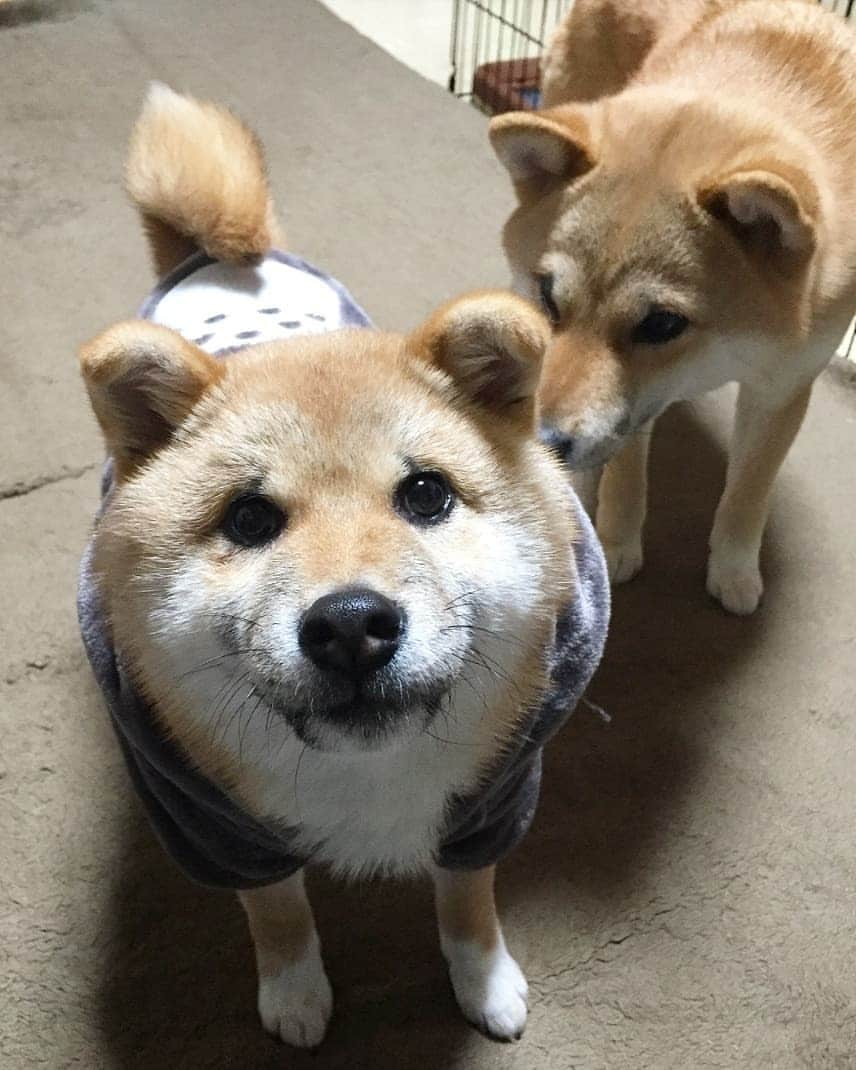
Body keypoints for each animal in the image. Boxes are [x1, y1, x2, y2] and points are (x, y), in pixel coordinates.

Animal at [75, 87, 607, 1048]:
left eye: (427, 495)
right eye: (248, 519)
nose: (352, 626)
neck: (365, 780)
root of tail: (226, 256)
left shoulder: (489, 807)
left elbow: (468, 903)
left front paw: (484, 979)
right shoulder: (221, 832)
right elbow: (279, 913)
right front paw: (294, 992)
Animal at [487, 0, 856, 616]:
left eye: (661, 324)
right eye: (548, 294)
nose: (544, 440)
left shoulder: (783, 386)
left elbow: (748, 492)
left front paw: (733, 568)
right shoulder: (636, 408)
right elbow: (627, 473)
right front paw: (617, 542)